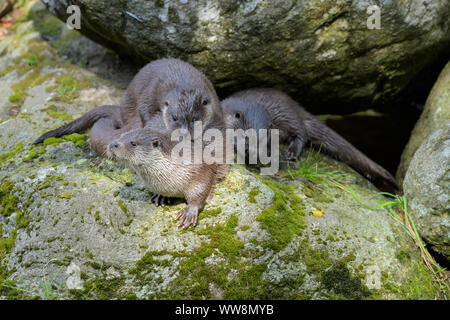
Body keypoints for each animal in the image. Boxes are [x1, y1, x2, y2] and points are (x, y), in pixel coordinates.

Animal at [221, 87, 398, 191]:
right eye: (246, 136)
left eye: (265, 141)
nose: (251, 153)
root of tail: (298, 108)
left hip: (288, 116)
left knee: (302, 133)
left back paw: (291, 152)